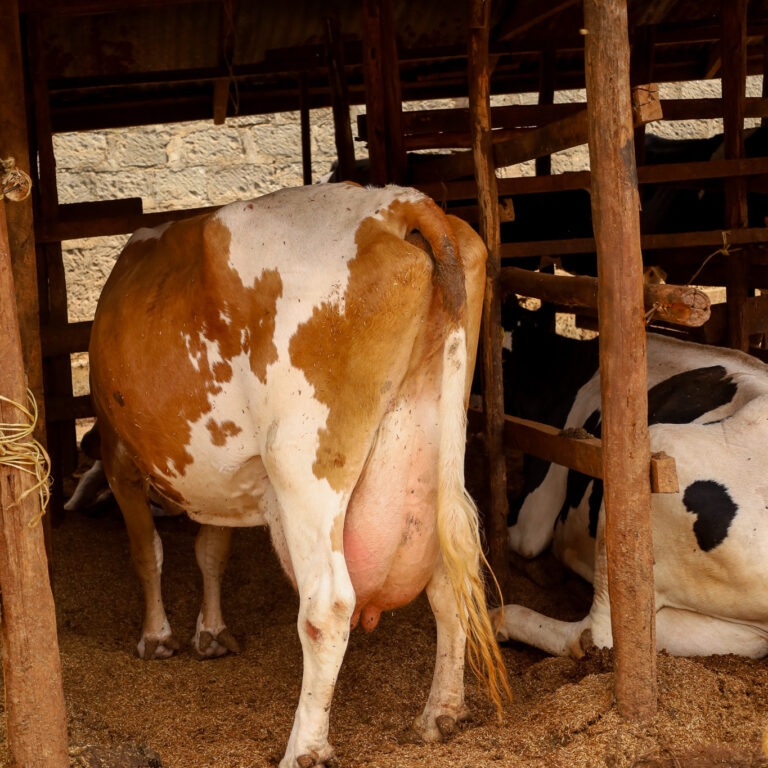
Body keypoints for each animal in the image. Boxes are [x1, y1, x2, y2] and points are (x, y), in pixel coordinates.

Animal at [88, 183, 508, 768]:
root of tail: (398, 204)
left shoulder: (117, 452)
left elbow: (147, 551)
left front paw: (156, 637)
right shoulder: (220, 472)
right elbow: (211, 550)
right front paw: (211, 632)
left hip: (302, 460)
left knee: (327, 605)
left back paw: (305, 747)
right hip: (435, 447)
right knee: (449, 578)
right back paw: (440, 713)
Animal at [493, 313, 768, 660]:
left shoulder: (537, 509)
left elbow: (522, 538)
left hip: (654, 455)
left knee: (595, 633)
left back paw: (499, 619)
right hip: (739, 632)